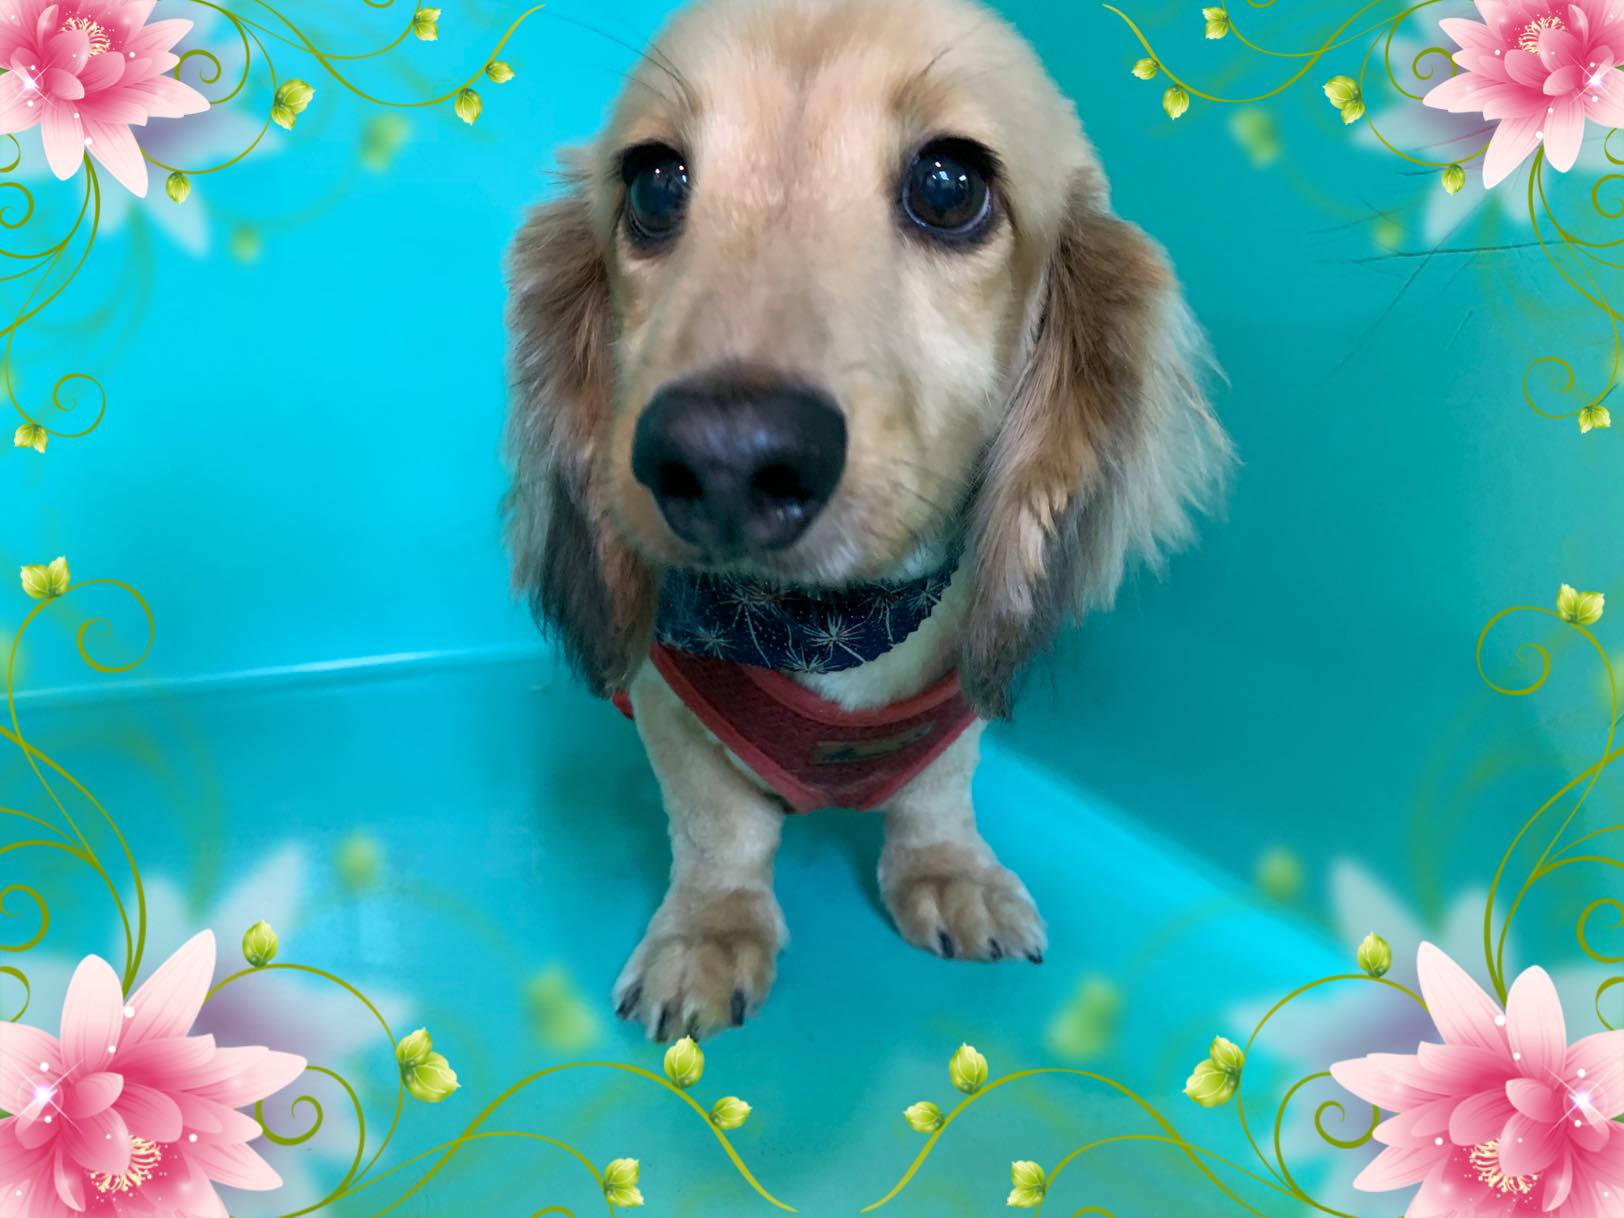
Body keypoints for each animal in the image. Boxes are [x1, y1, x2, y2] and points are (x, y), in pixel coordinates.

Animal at [504, 0, 1232, 1041]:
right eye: (653, 183)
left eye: (949, 186)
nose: (723, 457)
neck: (828, 622)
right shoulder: (666, 700)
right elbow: (718, 827)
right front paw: (709, 933)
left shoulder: (954, 701)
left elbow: (936, 795)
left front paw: (950, 874)